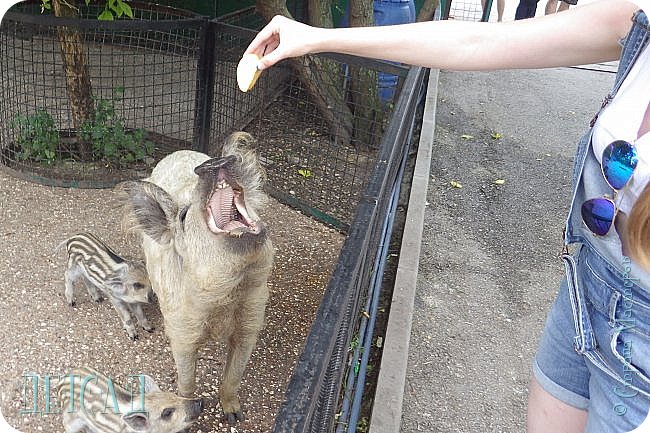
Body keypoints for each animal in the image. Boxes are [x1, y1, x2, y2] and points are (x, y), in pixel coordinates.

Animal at [117, 132, 272, 422]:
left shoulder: (252, 318)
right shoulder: (181, 331)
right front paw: (190, 411)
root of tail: (178, 151)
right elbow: (187, 378)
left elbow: (234, 375)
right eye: (184, 215)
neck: (226, 298)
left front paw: (234, 416)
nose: (214, 163)